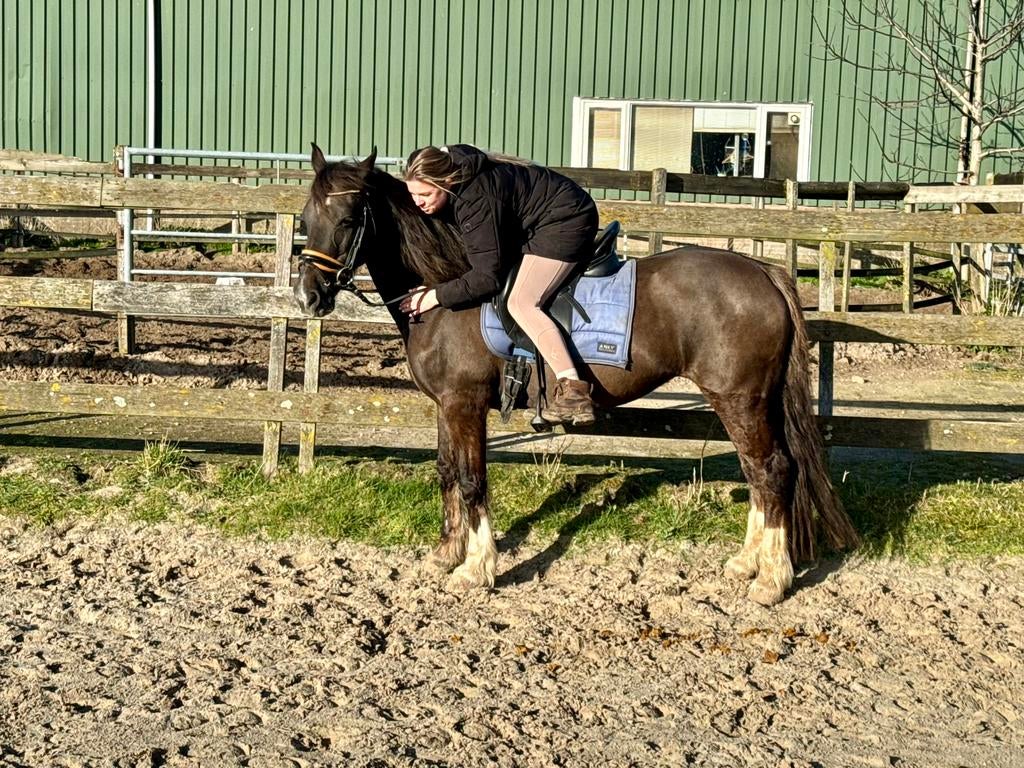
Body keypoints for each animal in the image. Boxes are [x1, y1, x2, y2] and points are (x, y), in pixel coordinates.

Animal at [293, 145, 860, 606]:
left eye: (348, 219)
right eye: (305, 217)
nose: (307, 298)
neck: (444, 293)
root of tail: (763, 271)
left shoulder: (464, 403)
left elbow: (473, 480)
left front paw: (476, 569)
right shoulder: (446, 406)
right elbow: (448, 471)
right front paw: (446, 553)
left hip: (740, 399)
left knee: (772, 471)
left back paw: (771, 580)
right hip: (748, 401)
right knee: (758, 474)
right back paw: (746, 563)